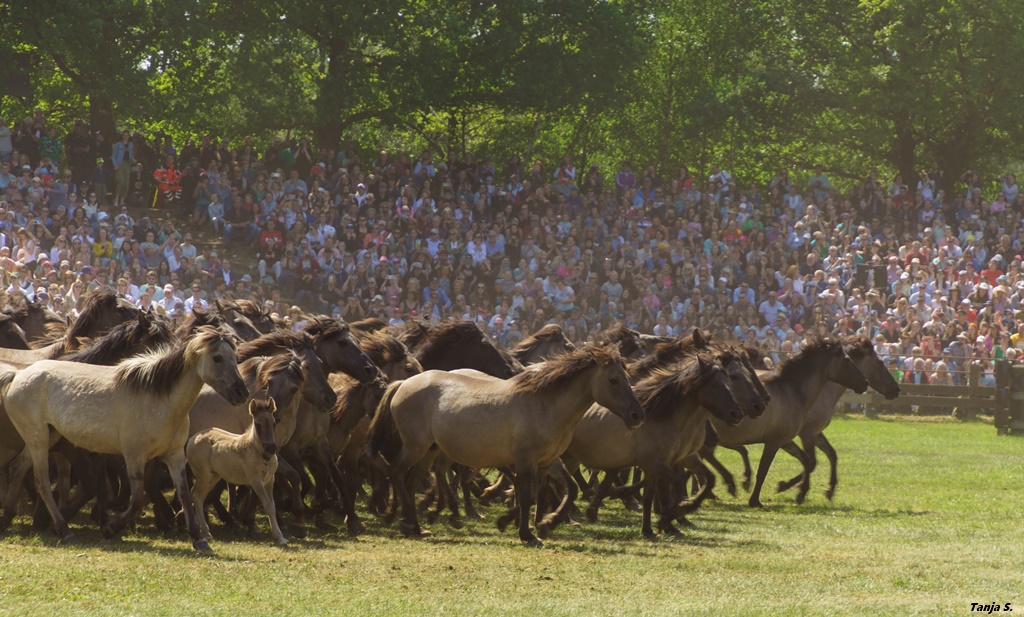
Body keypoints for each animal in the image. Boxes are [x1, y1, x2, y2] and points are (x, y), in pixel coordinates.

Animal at [0, 325, 246, 552]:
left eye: (235, 358)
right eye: (217, 357)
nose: (241, 392)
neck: (160, 400)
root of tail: (18, 376)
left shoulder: (174, 455)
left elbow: (185, 494)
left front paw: (198, 538)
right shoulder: (134, 457)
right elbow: (137, 500)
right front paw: (111, 528)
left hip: (48, 437)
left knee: (18, 467)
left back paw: (8, 518)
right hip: (38, 438)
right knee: (41, 481)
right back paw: (64, 530)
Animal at [185, 399, 286, 548]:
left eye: (274, 423)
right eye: (258, 424)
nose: (271, 448)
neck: (257, 451)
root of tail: (192, 439)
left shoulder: (270, 480)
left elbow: (272, 505)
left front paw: (280, 536)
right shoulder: (256, 480)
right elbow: (267, 505)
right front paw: (279, 537)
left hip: (213, 477)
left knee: (194, 493)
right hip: (205, 476)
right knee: (197, 496)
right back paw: (206, 534)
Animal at [366, 345, 638, 548]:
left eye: (627, 377)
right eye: (613, 380)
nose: (637, 416)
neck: (546, 405)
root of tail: (402, 384)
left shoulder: (548, 461)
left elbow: (569, 490)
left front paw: (546, 524)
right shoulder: (525, 460)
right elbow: (526, 496)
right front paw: (528, 534)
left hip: (429, 450)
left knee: (414, 481)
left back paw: (415, 525)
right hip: (416, 446)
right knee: (397, 472)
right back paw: (411, 522)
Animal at [569, 354, 745, 540]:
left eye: (729, 383)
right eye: (714, 385)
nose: (737, 415)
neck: (660, 417)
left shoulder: (671, 461)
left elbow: (703, 481)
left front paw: (652, 529)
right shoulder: (654, 463)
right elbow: (674, 486)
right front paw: (669, 517)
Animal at [704, 339, 864, 509]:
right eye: (847, 359)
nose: (865, 382)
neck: (791, 392)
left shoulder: (785, 440)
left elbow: (807, 460)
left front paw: (797, 492)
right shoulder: (775, 441)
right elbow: (763, 470)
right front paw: (755, 500)